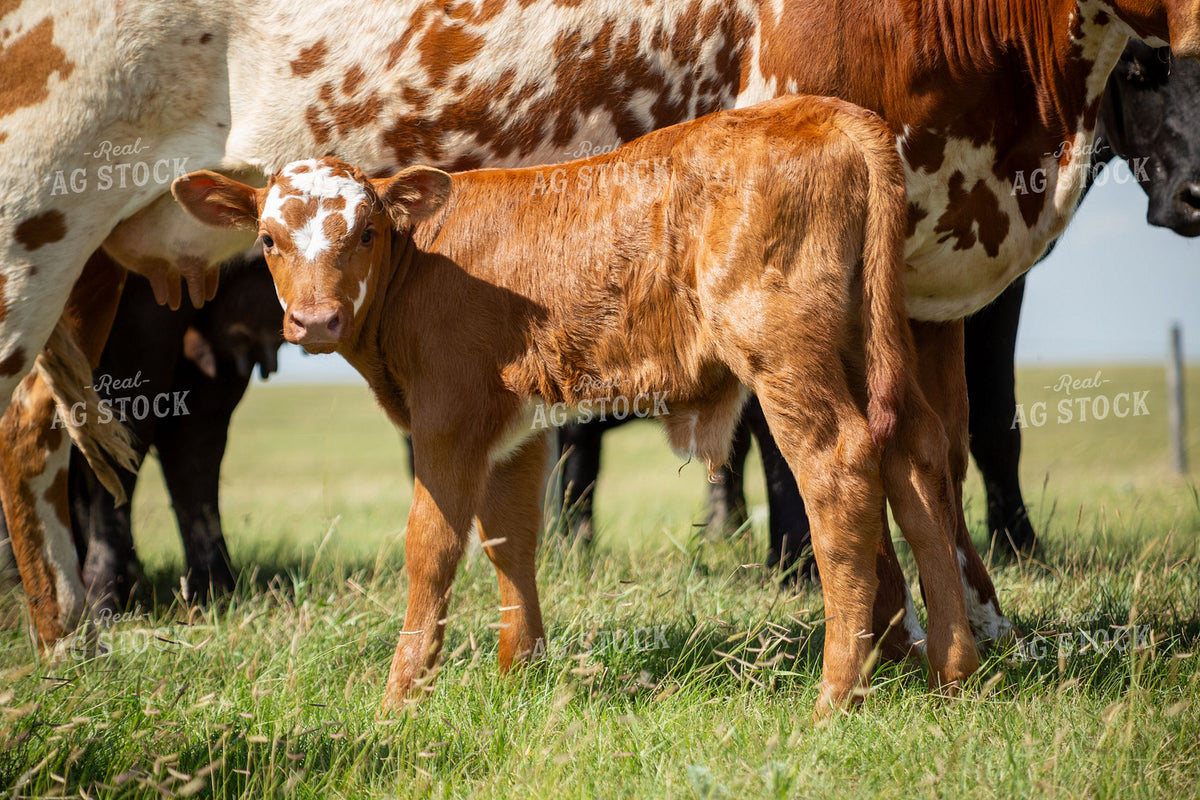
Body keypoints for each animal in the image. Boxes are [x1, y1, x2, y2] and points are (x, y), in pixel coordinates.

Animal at [172, 96, 983, 714]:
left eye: (366, 232)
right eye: (268, 239)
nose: (315, 320)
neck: (421, 268)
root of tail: (824, 110)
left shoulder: (448, 416)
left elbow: (432, 546)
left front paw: (401, 696)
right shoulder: (514, 427)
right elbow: (511, 537)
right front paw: (519, 673)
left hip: (785, 352)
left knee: (839, 472)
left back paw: (836, 698)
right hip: (875, 345)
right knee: (917, 462)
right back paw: (953, 672)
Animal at [558, 39, 1200, 569]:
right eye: (1141, 72)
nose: (1194, 196)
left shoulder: (989, 293)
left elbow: (994, 422)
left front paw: (1018, 546)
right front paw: (796, 560)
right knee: (580, 446)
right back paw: (578, 545)